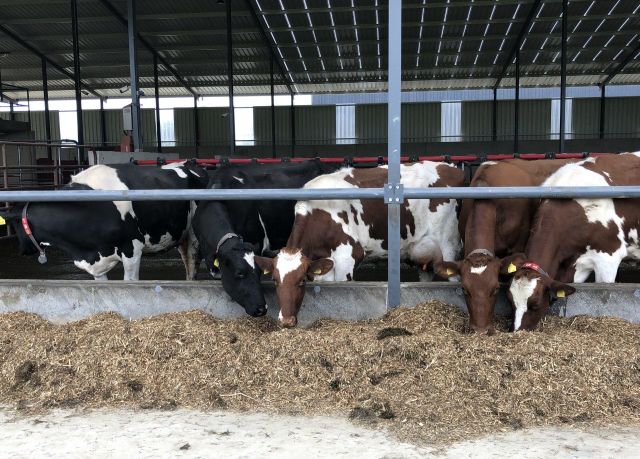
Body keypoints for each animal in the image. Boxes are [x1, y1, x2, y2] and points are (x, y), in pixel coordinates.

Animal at [0, 160, 209, 281]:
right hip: (180, 235)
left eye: (15, 226)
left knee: (192, 264)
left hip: (193, 236)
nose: (22, 250)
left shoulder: (132, 249)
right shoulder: (94, 261)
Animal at [254, 161, 464, 327]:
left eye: (301, 281)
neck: (320, 212)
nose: (286, 321)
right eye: (274, 280)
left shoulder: (348, 256)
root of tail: (449, 167)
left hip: (449, 244)